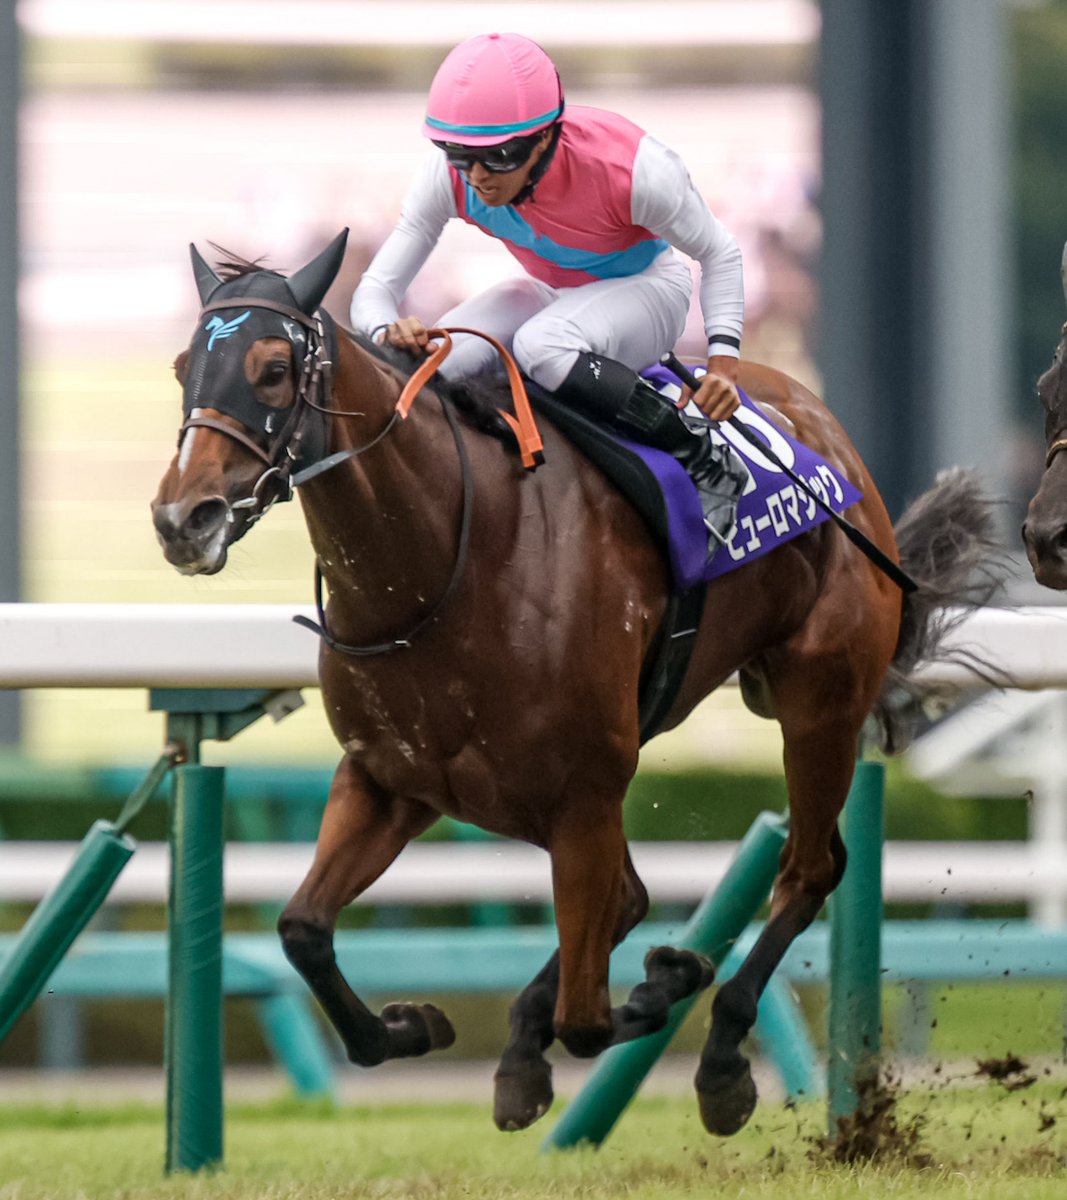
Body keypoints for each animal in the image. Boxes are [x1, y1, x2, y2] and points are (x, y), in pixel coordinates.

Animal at [152, 230, 997, 1137]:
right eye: (182, 366)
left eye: (274, 368)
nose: (183, 519)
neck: (448, 558)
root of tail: (828, 434)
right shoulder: (390, 778)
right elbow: (302, 929)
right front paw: (414, 1025)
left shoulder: (584, 790)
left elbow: (589, 1019)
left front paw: (667, 980)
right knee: (645, 894)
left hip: (819, 703)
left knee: (806, 868)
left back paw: (720, 1056)